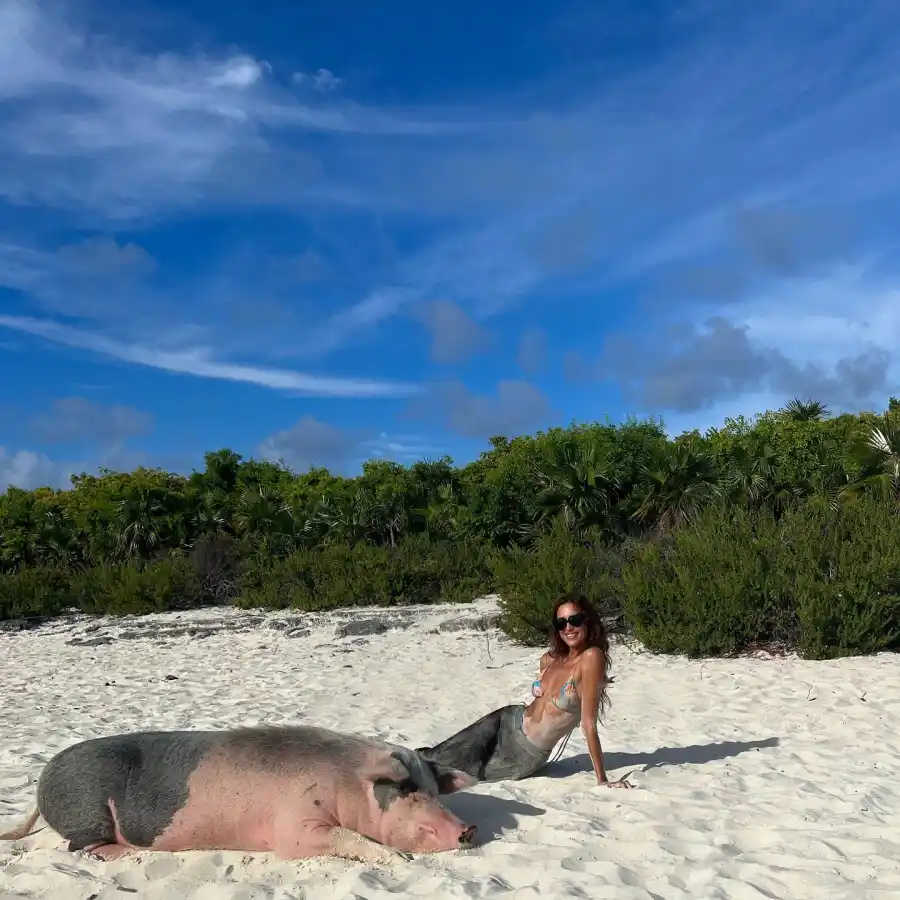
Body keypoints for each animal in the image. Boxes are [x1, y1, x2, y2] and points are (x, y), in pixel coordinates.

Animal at [0, 725, 477, 865]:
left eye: (433, 790)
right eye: (407, 791)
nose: (468, 830)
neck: (346, 784)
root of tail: (41, 780)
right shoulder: (294, 828)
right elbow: (345, 838)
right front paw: (399, 859)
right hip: (87, 810)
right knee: (78, 846)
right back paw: (129, 854)